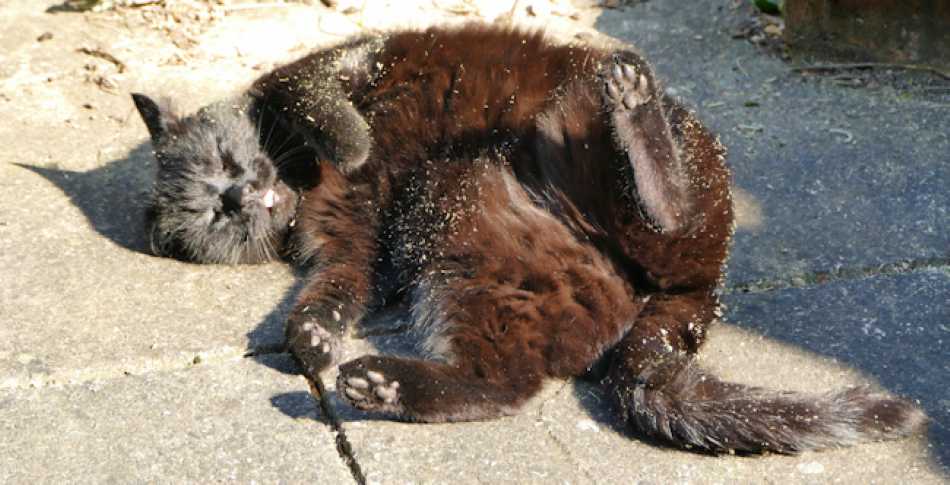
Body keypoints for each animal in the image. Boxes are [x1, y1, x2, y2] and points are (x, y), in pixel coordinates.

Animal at [130, 22, 924, 454]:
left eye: (223, 164)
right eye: (214, 217)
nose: (242, 194)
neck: (302, 184)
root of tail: (700, 291)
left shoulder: (343, 63)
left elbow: (315, 96)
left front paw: (352, 142)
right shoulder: (348, 249)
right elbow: (331, 292)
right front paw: (313, 341)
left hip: (566, 130)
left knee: (668, 207)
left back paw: (633, 101)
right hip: (467, 238)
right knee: (504, 386)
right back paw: (378, 383)